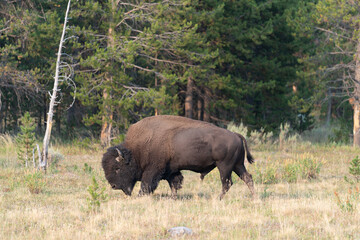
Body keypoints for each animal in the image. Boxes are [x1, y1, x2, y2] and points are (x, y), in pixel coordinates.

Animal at [100, 114, 256, 199]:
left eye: (117, 168)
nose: (113, 186)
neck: (136, 150)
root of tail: (235, 134)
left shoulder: (153, 170)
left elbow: (146, 185)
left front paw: (140, 197)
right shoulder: (171, 170)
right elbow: (174, 184)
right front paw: (173, 198)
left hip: (224, 166)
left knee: (227, 183)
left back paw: (218, 199)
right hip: (237, 165)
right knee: (247, 178)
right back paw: (254, 198)